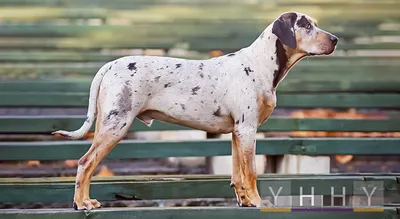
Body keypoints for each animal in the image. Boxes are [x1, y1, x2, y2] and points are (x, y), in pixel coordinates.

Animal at [53, 11, 338, 210]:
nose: (335, 39)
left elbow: (237, 174)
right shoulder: (248, 130)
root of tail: (110, 65)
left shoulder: (237, 133)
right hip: (116, 125)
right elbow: (252, 172)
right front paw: (258, 202)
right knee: (85, 163)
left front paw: (245, 201)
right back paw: (82, 203)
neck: (260, 64)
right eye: (306, 25)